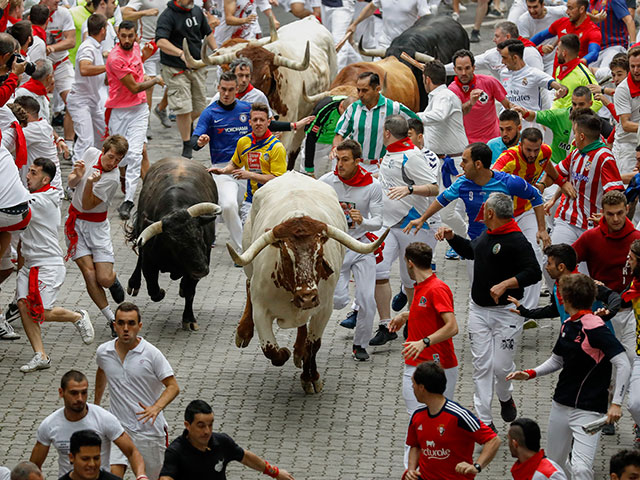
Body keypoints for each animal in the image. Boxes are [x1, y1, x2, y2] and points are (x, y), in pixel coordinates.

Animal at [125, 158, 220, 330]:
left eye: (200, 236)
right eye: (174, 244)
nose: (201, 270)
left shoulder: (204, 258)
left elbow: (189, 290)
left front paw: (189, 319)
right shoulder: (149, 262)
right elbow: (154, 289)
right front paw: (161, 292)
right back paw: (134, 283)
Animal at [228, 172, 388, 394]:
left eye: (318, 255)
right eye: (286, 255)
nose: (307, 297)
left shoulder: (324, 309)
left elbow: (313, 345)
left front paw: (310, 376)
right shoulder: (261, 310)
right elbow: (271, 350)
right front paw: (285, 353)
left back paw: (298, 350)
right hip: (248, 262)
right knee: (248, 284)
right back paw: (244, 332)